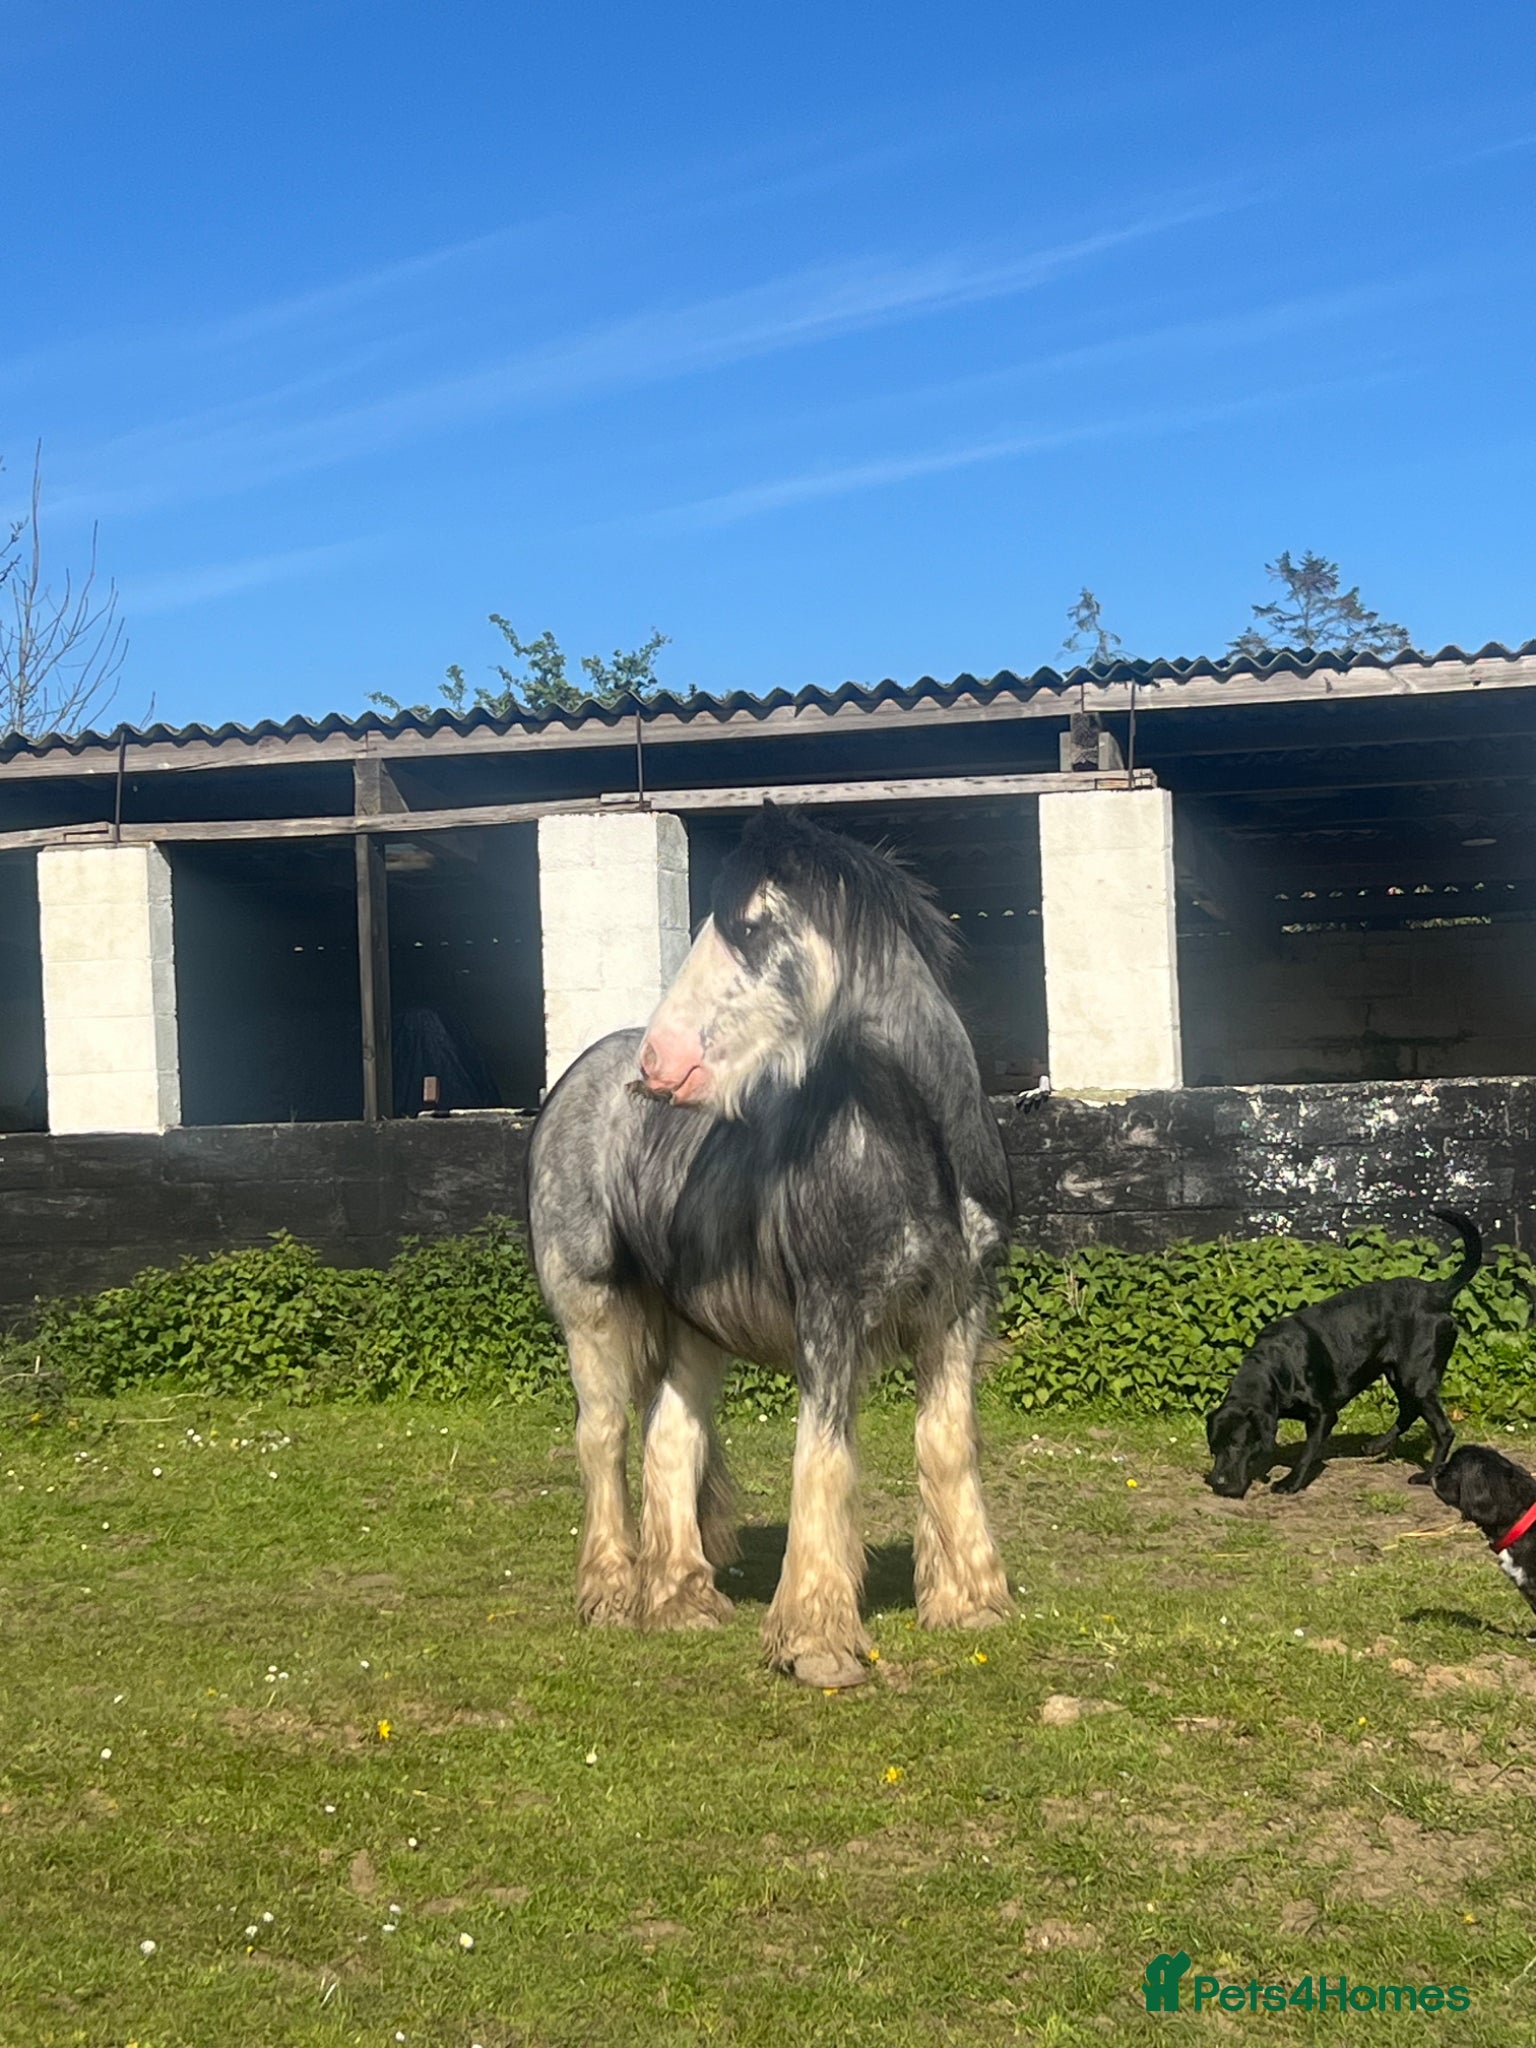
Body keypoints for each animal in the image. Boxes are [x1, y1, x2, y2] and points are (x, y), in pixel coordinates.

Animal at [526, 804, 1013, 1687]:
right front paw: (817, 1641)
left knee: (670, 1439)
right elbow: (822, 1460)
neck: (915, 1149)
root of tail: (581, 1078)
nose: (657, 1063)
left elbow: (947, 1445)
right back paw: (611, 1593)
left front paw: (969, 1602)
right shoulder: (829, 1317)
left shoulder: (959, 1314)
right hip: (592, 1315)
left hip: (694, 1329)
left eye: (749, 926)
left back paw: (681, 1598)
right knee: (604, 1437)